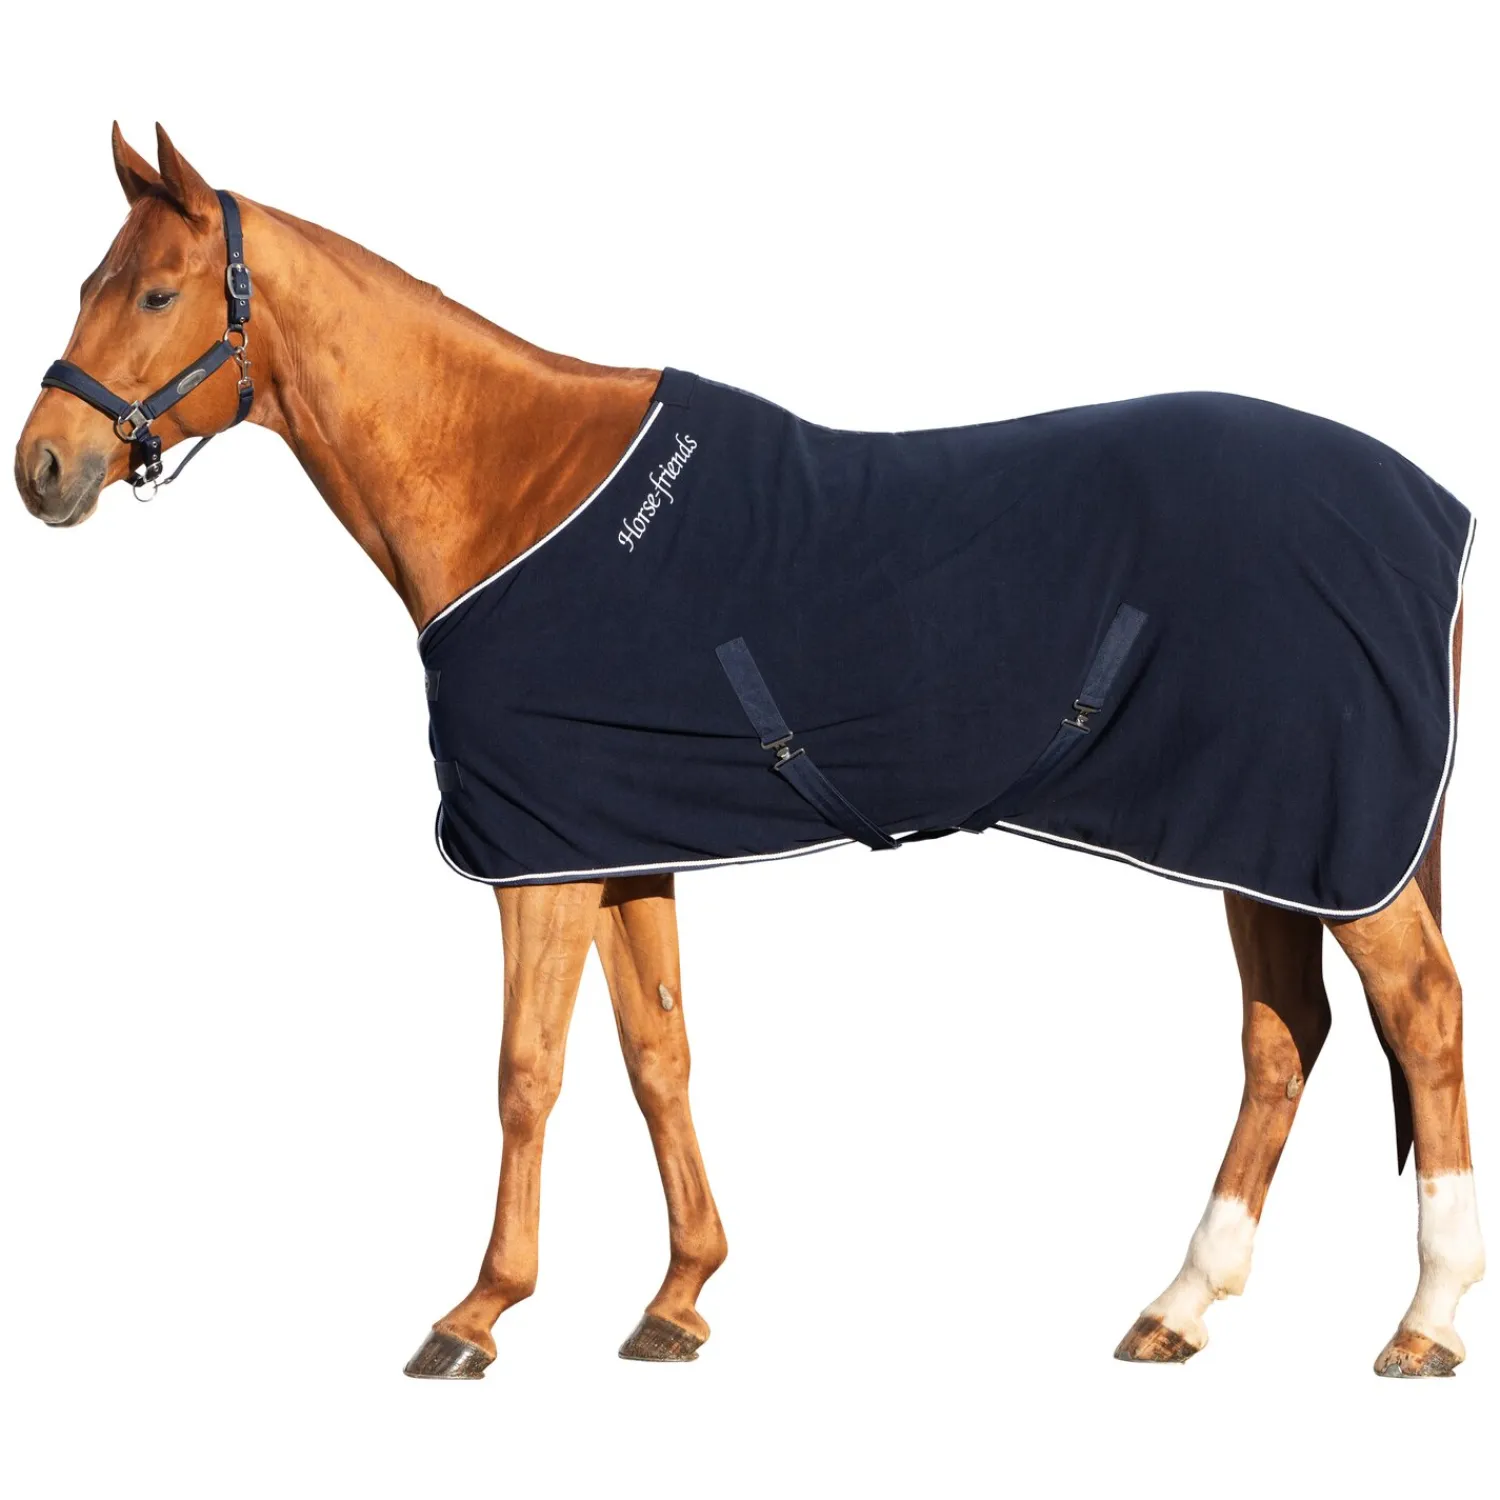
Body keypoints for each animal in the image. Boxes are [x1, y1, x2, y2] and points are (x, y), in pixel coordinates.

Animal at [14, 124, 1483, 1380]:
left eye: (156, 294)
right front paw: (677, 1298)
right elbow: (655, 1054)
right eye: (91, 282)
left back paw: (1428, 1317)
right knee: (1285, 1039)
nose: (43, 468)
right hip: (1266, 839)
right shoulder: (615, 841)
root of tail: (1430, 509)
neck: (519, 488)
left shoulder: (539, 861)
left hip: (1329, 840)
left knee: (1424, 1012)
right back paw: (1180, 1307)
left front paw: (479, 1311)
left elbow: (526, 1073)